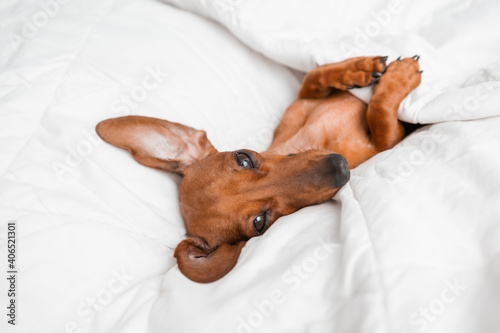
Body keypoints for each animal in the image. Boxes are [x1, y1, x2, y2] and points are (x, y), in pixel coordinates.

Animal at [95, 55, 420, 282]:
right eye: (260, 223)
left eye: (243, 158)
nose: (339, 166)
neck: (308, 140)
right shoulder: (386, 142)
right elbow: (380, 115)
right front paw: (400, 79)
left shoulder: (302, 100)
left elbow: (313, 77)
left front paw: (360, 68)